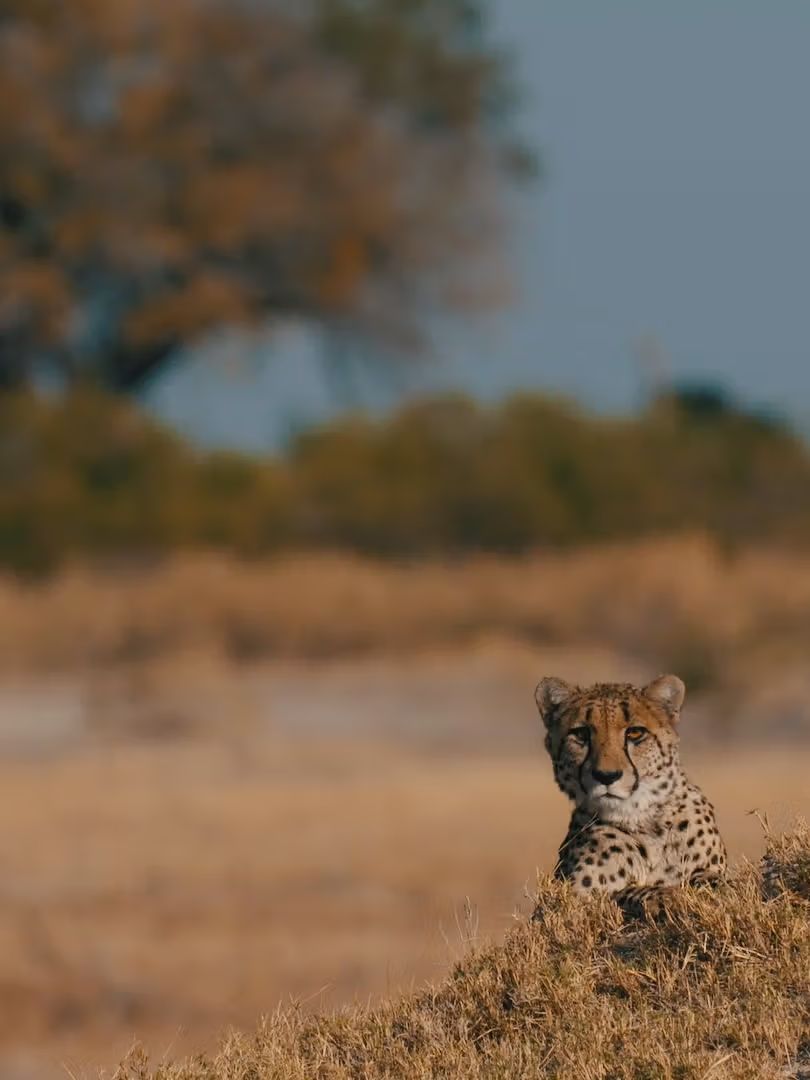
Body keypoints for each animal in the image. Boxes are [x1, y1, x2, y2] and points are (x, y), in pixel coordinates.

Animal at [534, 673, 727, 917]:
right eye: (581, 734)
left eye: (635, 732)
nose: (606, 776)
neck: (646, 821)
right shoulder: (563, 905)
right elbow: (617, 894)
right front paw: (665, 896)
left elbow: (711, 878)